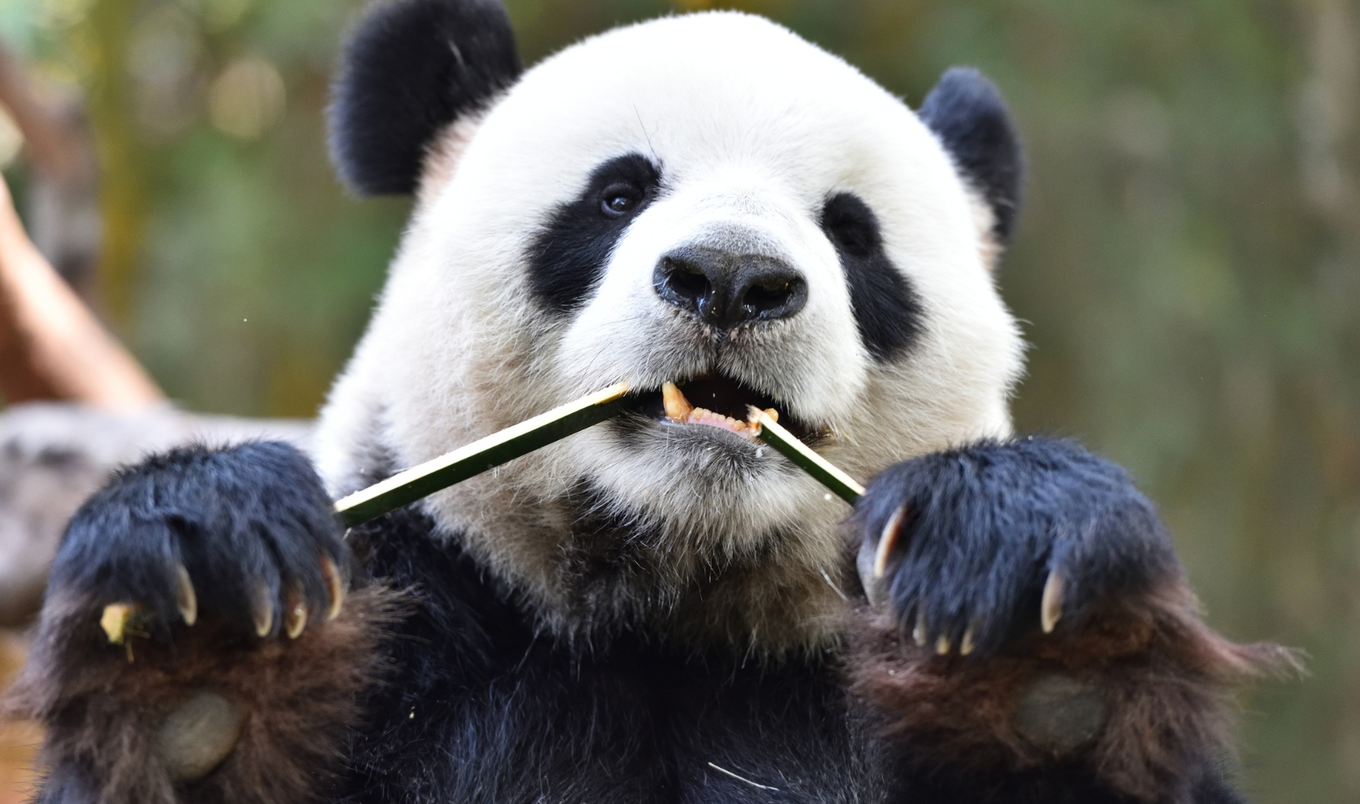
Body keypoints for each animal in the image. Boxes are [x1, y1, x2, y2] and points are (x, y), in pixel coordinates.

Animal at [12, 1, 1290, 802]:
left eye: (851, 233)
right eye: (618, 193)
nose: (730, 279)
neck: (664, 609)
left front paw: (1032, 631)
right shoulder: (436, 623)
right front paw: (206, 640)